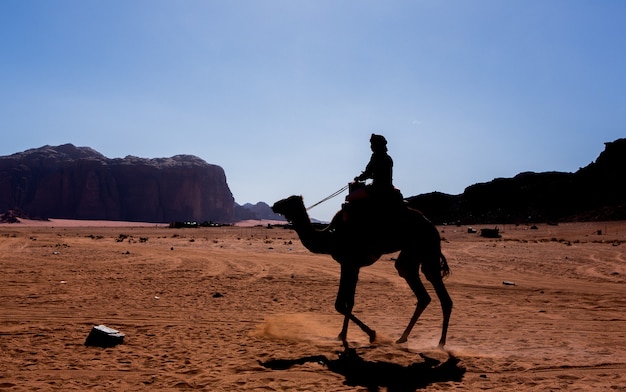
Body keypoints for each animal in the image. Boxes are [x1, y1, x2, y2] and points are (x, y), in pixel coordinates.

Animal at [270, 194, 450, 348]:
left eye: (287, 201)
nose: (274, 205)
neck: (331, 238)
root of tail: (431, 225)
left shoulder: (347, 262)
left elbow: (339, 304)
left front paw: (371, 334)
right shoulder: (354, 266)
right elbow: (349, 302)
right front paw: (342, 335)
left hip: (422, 245)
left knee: (426, 284)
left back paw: (437, 343)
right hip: (419, 251)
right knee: (425, 288)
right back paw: (408, 338)